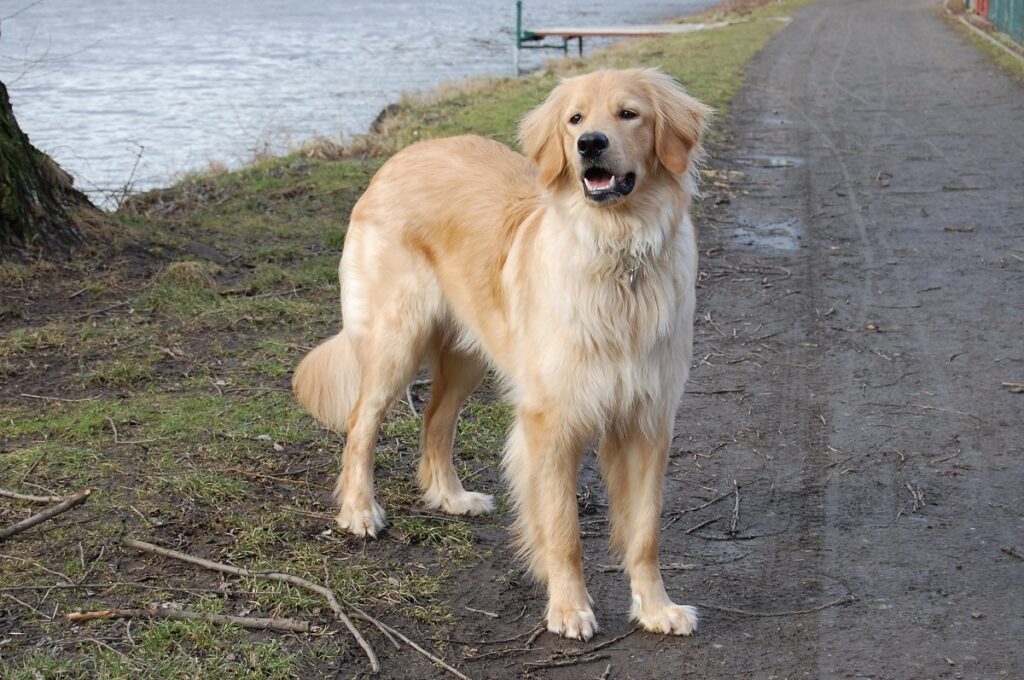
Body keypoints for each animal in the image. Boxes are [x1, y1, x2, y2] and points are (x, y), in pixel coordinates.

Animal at [292, 67, 712, 639]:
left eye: (629, 114)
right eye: (574, 119)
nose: (589, 144)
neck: (617, 253)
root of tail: (402, 156)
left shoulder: (648, 420)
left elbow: (645, 532)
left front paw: (655, 608)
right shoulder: (551, 423)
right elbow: (562, 528)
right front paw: (569, 608)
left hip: (468, 352)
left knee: (435, 421)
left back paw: (451, 497)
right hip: (395, 340)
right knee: (362, 423)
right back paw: (359, 511)